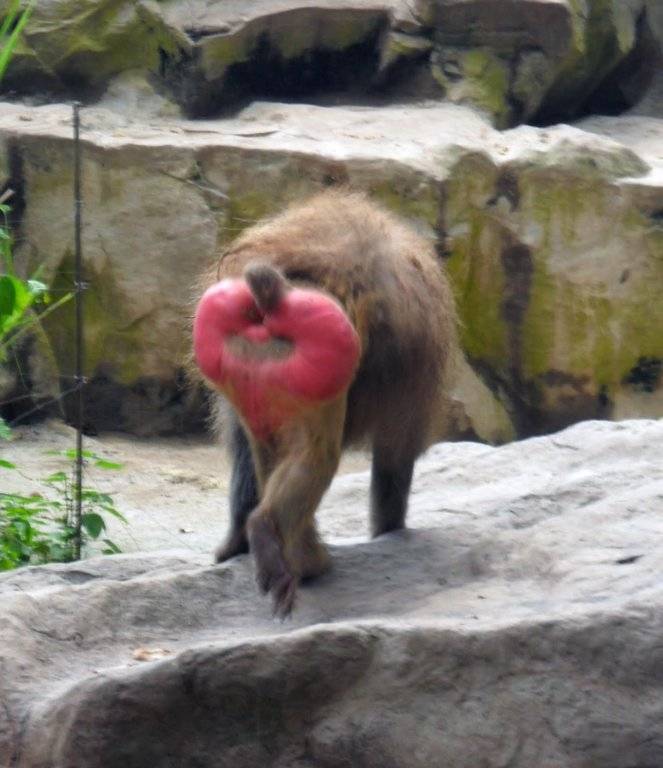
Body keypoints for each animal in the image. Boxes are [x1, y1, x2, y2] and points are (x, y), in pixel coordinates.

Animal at [193, 188, 456, 616]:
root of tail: (276, 294)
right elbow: (394, 463)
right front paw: (390, 531)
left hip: (243, 366)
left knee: (261, 449)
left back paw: (256, 544)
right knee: (316, 456)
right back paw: (293, 551)